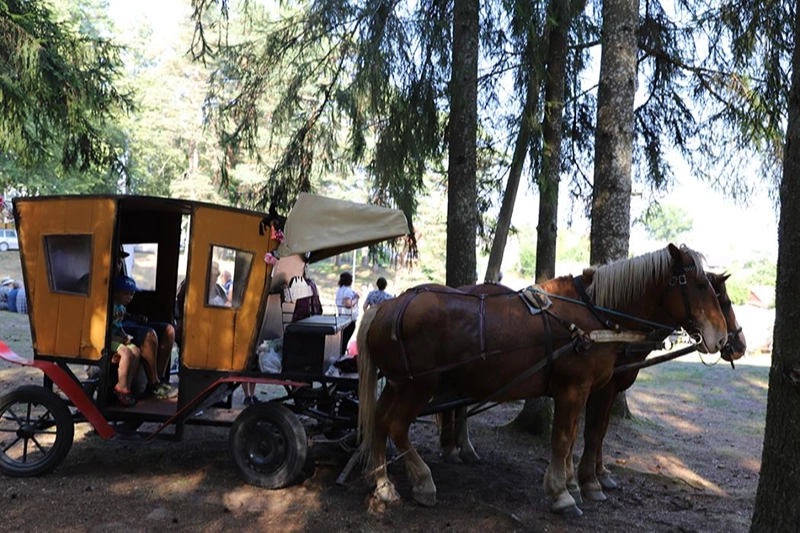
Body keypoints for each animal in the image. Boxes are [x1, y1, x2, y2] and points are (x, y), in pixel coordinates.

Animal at [360, 243, 728, 512]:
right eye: (700, 285)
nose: (724, 338)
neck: (594, 315)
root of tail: (387, 306)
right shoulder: (573, 389)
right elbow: (565, 440)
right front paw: (562, 494)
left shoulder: (585, 391)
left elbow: (575, 438)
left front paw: (572, 486)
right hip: (417, 386)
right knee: (395, 426)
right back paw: (422, 481)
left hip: (398, 385)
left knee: (377, 421)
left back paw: (383, 484)